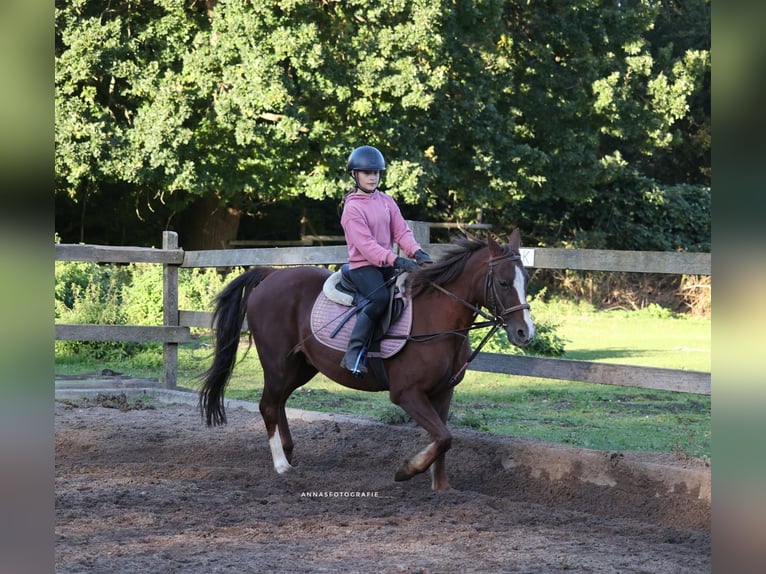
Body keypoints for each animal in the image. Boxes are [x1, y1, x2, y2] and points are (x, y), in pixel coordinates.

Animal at [198, 228, 536, 490]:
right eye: (503, 282)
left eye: (526, 280)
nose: (525, 332)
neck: (438, 319)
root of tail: (271, 275)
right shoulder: (407, 394)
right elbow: (443, 437)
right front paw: (407, 470)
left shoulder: (443, 392)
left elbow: (444, 439)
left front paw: (441, 487)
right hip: (278, 365)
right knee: (268, 405)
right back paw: (281, 464)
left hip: (300, 366)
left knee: (278, 403)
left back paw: (289, 452)